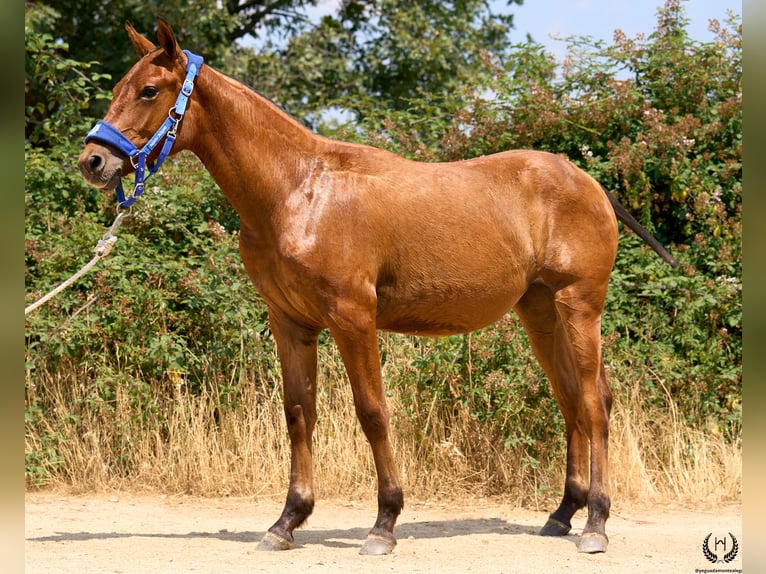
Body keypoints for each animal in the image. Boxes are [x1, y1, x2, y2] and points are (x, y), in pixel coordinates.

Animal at [79, 19, 678, 556]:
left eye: (149, 90)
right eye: (117, 88)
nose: (93, 160)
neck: (299, 189)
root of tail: (590, 182)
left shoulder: (353, 318)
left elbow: (372, 411)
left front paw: (384, 523)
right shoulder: (290, 323)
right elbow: (298, 413)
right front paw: (287, 522)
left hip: (578, 306)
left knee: (594, 405)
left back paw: (595, 524)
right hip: (540, 312)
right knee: (573, 398)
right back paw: (562, 514)